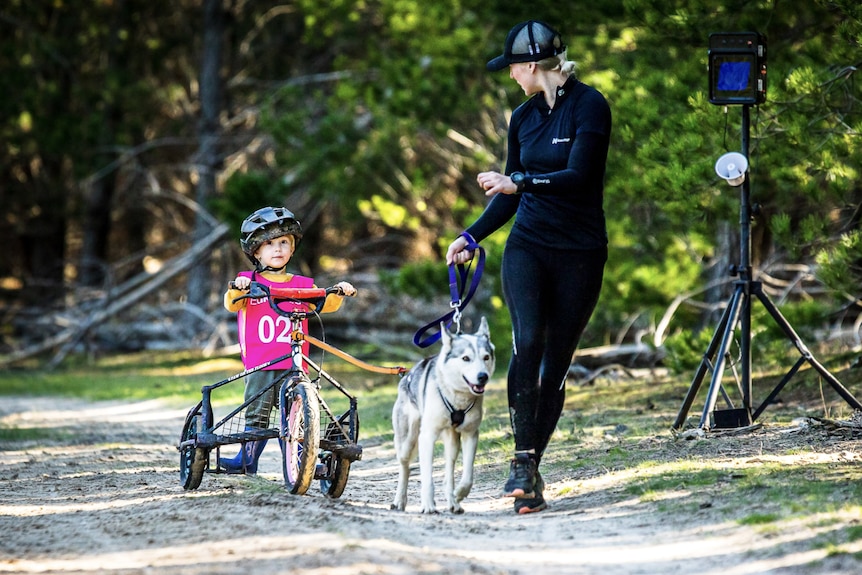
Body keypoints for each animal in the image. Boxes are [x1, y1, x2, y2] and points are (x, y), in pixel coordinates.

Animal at [390, 318, 492, 516]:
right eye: (466, 358)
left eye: (486, 357)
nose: (483, 376)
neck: (457, 398)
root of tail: (405, 376)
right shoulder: (427, 437)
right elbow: (427, 478)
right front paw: (428, 505)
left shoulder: (471, 434)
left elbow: (468, 476)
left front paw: (459, 494)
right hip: (408, 441)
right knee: (404, 467)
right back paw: (399, 501)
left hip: (452, 442)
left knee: (448, 471)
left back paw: (453, 501)